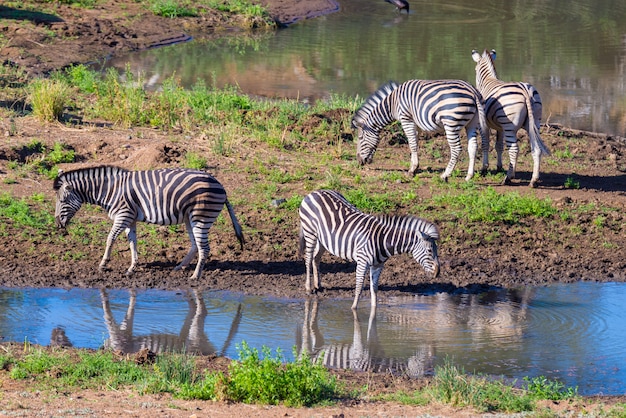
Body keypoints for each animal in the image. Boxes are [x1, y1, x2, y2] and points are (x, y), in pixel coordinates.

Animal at [51, 165, 244, 280]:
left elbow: (110, 239)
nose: (58, 225)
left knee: (204, 248)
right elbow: (132, 243)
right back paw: (179, 267)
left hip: (201, 217)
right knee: (195, 245)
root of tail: (220, 185)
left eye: (62, 201)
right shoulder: (130, 218)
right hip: (190, 218)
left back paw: (195, 276)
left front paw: (103, 264)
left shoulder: (123, 215)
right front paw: (132, 267)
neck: (110, 190)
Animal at [298, 189, 438, 310]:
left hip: (323, 239)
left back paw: (318, 285)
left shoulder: (378, 265)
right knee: (308, 258)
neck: (382, 240)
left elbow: (374, 288)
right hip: (310, 232)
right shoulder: (362, 262)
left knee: (316, 258)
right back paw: (308, 288)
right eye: (430, 251)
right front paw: (353, 308)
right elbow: (359, 287)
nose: (438, 273)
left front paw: (374, 309)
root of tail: (315, 192)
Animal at [352, 79, 488, 182]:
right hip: (472, 123)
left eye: (360, 138)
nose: (359, 162)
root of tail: (472, 91)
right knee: (473, 147)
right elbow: (415, 144)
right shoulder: (415, 123)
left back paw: (445, 175)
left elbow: (412, 144)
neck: (393, 104)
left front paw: (412, 170)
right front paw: (414, 168)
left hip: (451, 123)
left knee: (456, 149)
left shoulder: (406, 119)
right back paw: (469, 176)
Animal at [470, 47, 548, 188]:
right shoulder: (500, 127)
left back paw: (508, 178)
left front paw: (484, 169)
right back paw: (534, 180)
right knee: (537, 149)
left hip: (510, 127)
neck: (488, 80)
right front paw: (499, 167)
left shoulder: (484, 124)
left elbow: (485, 144)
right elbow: (498, 146)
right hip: (534, 124)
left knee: (514, 149)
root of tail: (525, 90)